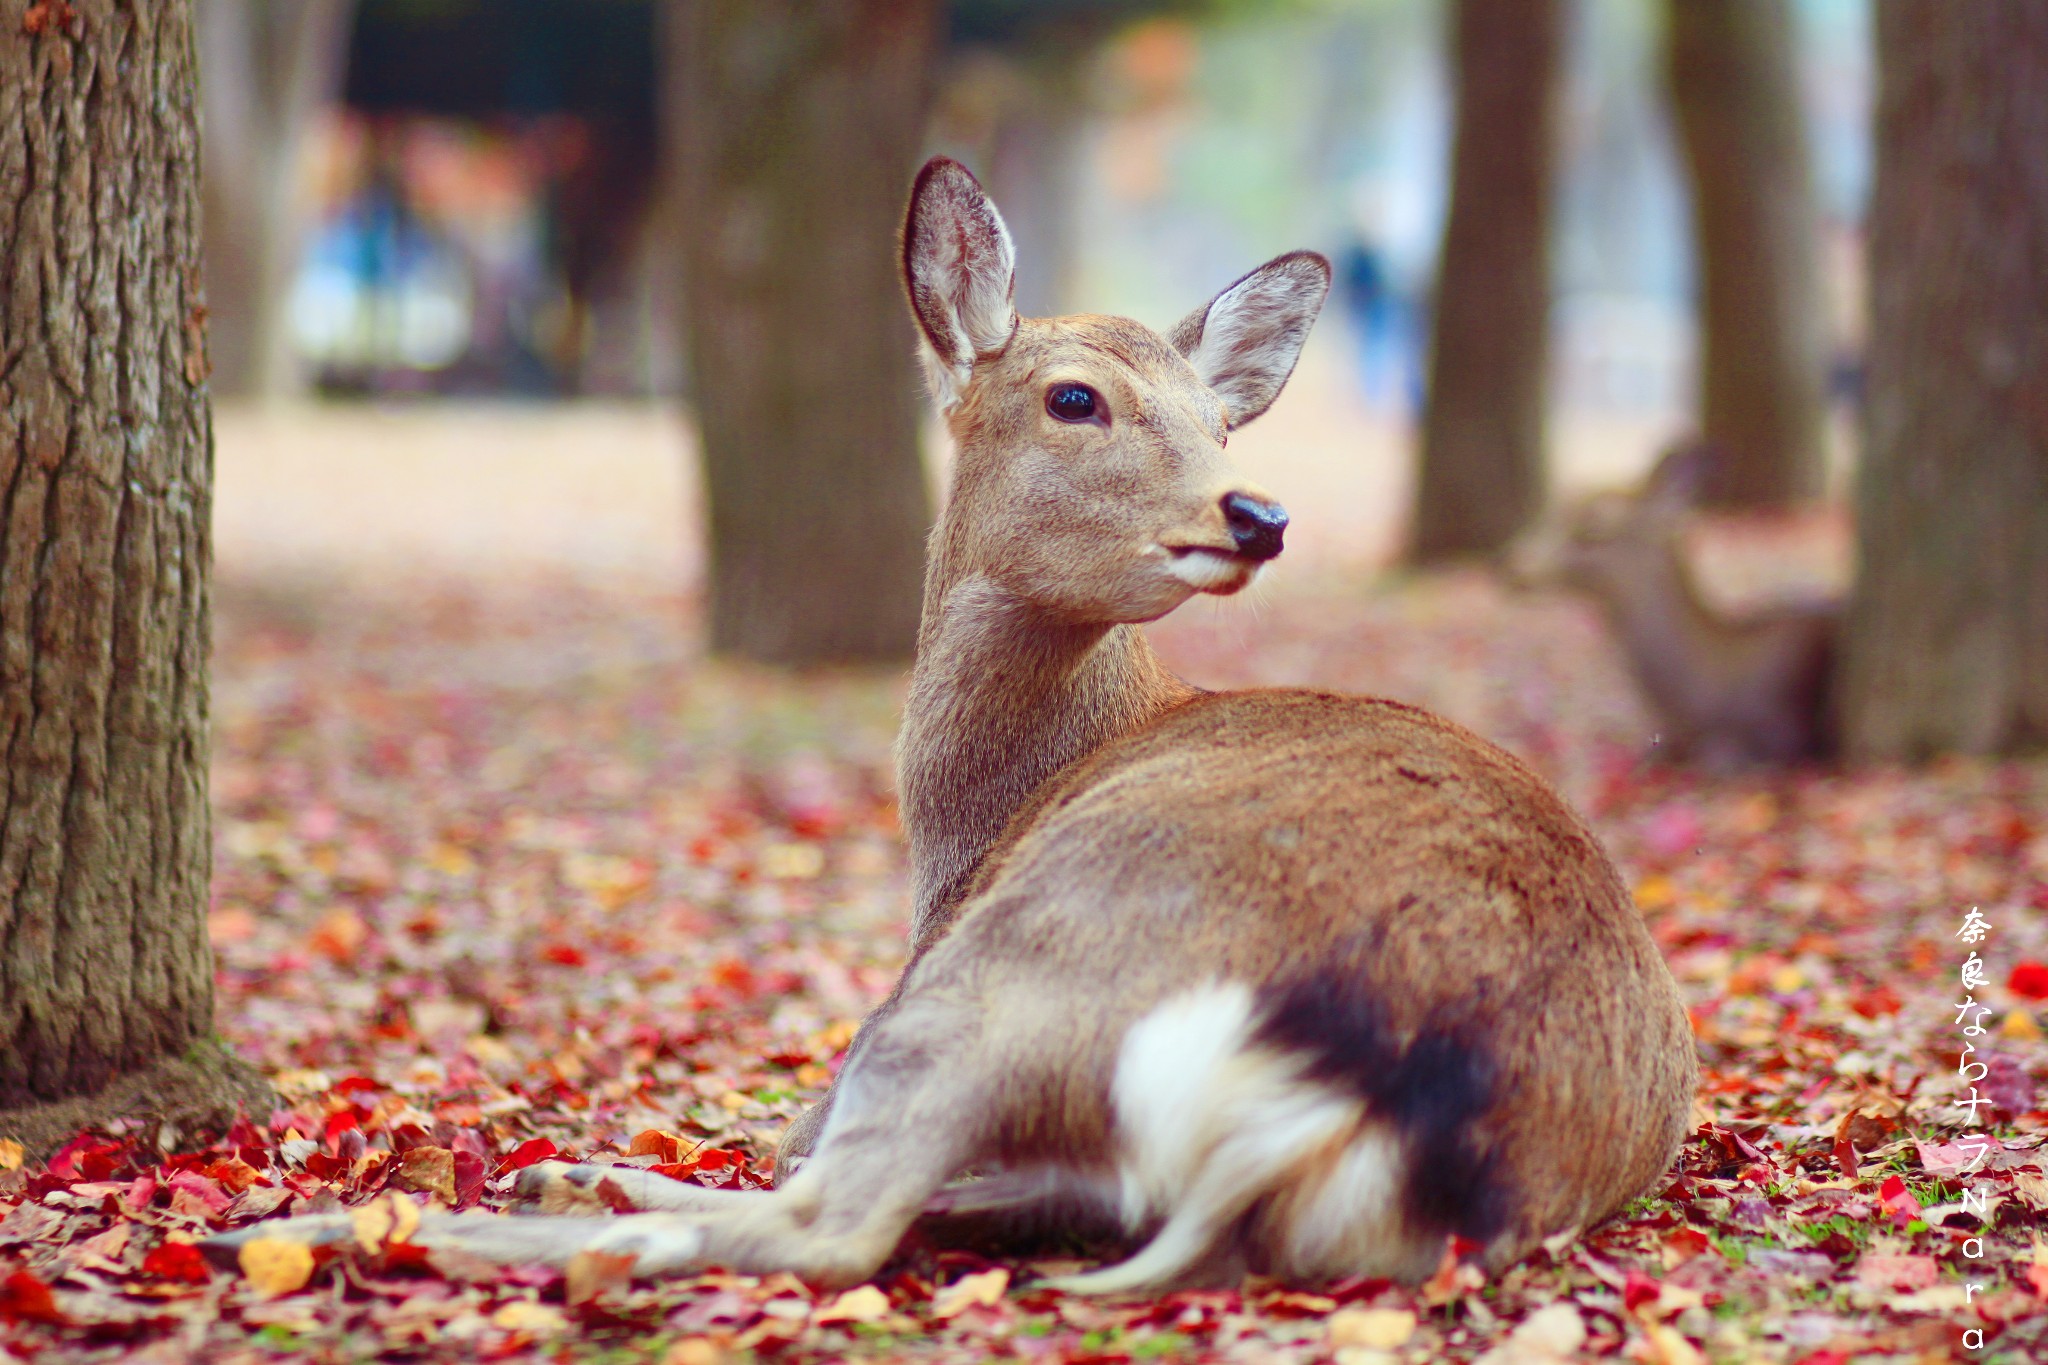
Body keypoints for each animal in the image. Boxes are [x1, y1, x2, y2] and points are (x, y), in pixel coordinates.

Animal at [207, 157, 1695, 1293]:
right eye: (1076, 396)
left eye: (1219, 422)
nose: (1256, 512)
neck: (973, 822)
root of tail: (1378, 1093)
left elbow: (794, 1156)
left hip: (1004, 983)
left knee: (828, 1215)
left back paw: (377, 1226)